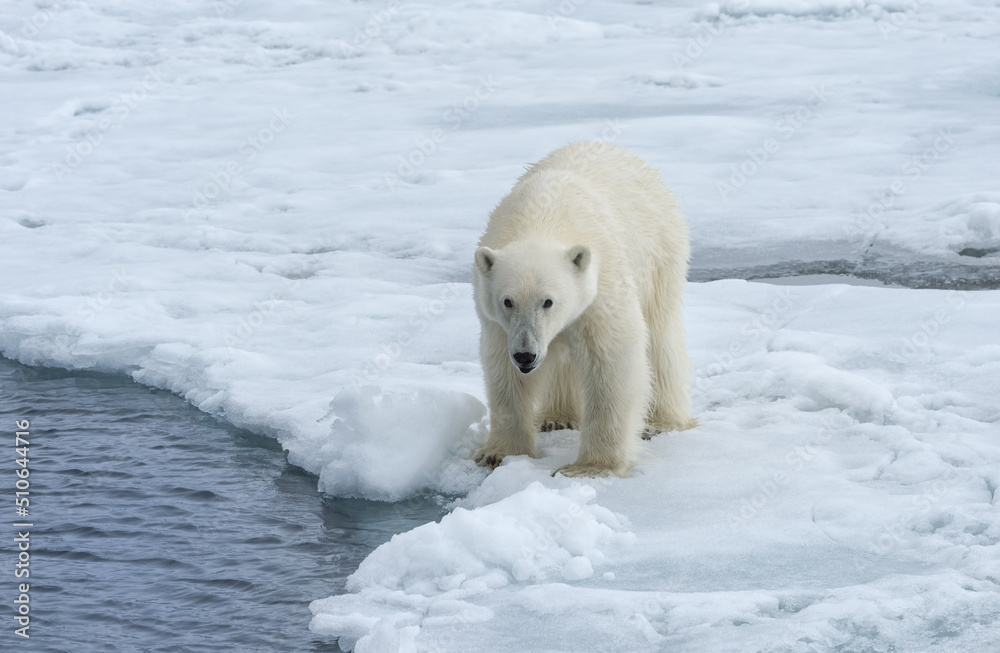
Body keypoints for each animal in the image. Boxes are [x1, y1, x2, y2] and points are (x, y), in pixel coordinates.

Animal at [472, 140, 697, 478]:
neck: (541, 218)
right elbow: (505, 372)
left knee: (660, 336)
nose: (526, 355)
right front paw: (498, 453)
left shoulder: (602, 284)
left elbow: (611, 361)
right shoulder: (499, 324)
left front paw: (590, 467)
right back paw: (557, 417)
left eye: (548, 301)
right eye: (507, 301)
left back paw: (663, 421)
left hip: (661, 252)